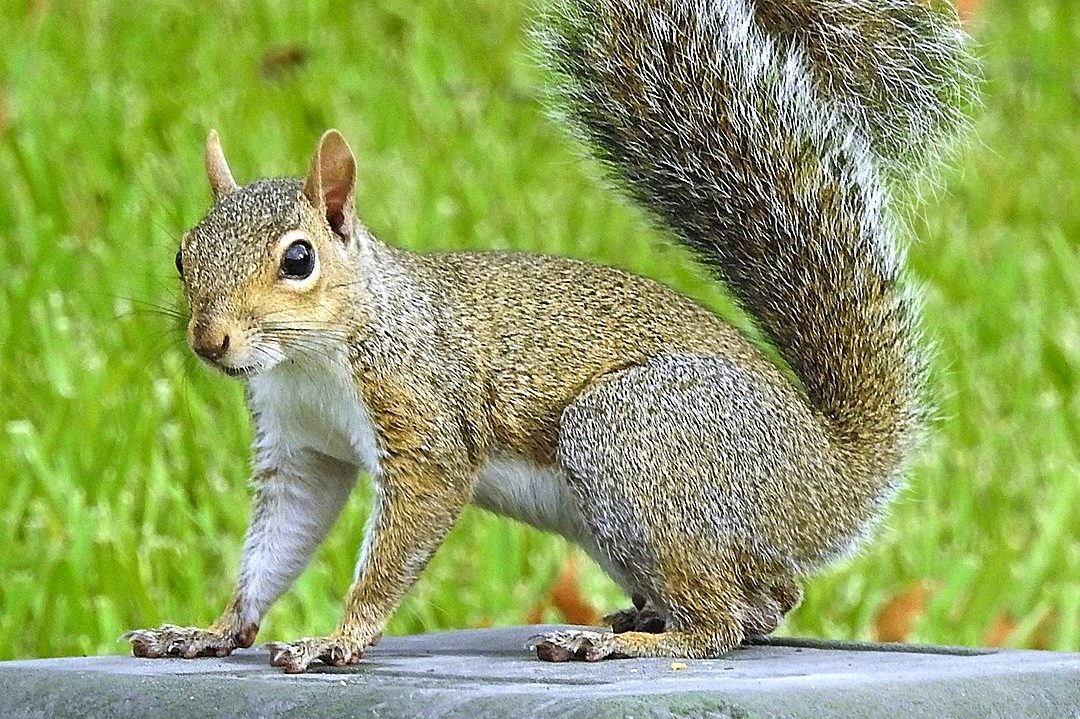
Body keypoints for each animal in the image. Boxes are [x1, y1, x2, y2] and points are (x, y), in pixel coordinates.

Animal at [124, 0, 975, 672]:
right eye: (183, 253)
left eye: (298, 259)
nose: (209, 341)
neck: (311, 356)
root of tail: (829, 477)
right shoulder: (302, 448)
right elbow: (280, 539)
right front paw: (212, 629)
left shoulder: (422, 414)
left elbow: (402, 536)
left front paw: (337, 639)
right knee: (768, 598)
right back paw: (640, 615)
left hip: (636, 437)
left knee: (724, 622)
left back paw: (622, 640)